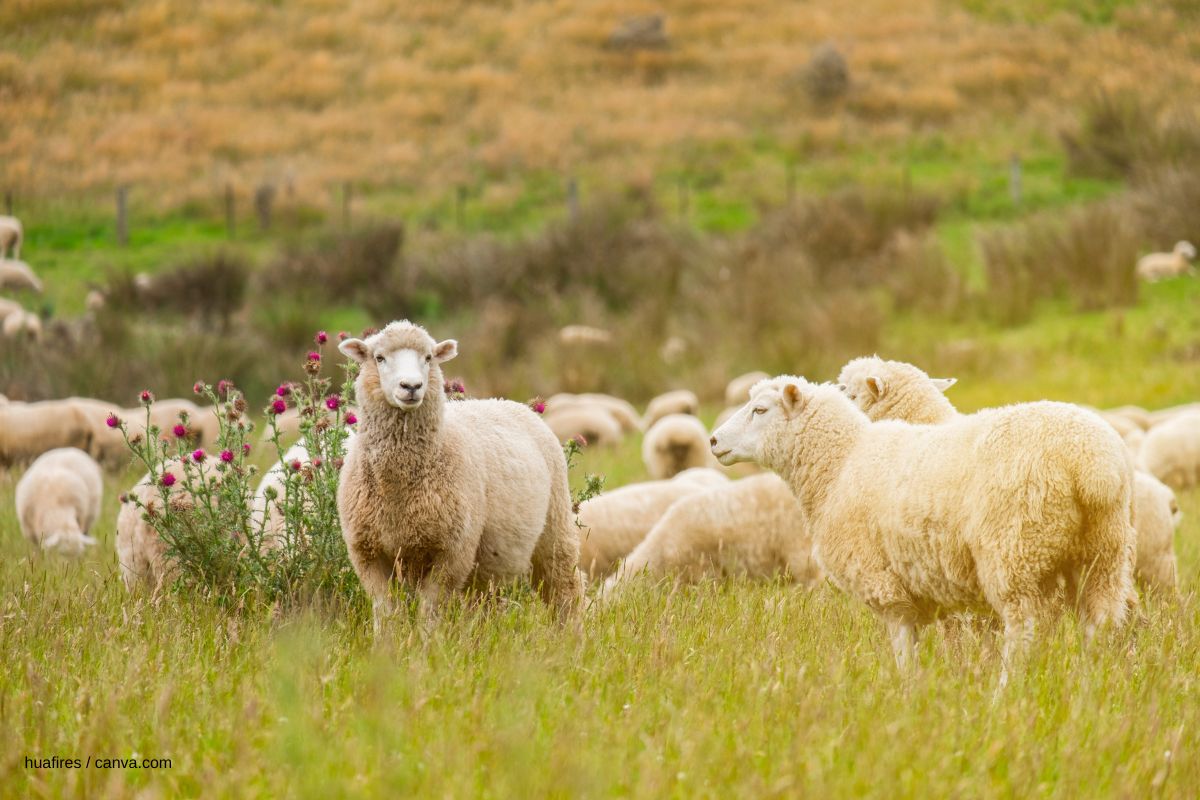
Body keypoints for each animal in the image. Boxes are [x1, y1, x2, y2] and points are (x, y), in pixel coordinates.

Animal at [336, 321, 583, 633]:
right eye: (378, 358)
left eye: (428, 357)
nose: (411, 386)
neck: (398, 490)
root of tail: (507, 402)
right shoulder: (367, 553)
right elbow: (387, 612)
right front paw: (387, 645)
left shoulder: (452, 553)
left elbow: (429, 611)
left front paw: (426, 642)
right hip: (489, 563)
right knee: (486, 604)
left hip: (554, 527)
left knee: (565, 587)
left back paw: (571, 635)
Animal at [710, 379, 1132, 681]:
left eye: (760, 409)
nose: (713, 441)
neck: (840, 463)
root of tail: (1091, 463)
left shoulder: (885, 585)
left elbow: (903, 651)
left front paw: (908, 698)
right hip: (1104, 554)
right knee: (1099, 628)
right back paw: (1088, 693)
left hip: (1015, 550)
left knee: (1024, 632)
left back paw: (1004, 697)